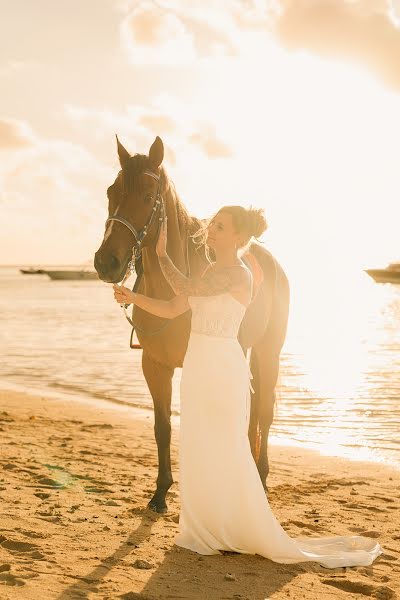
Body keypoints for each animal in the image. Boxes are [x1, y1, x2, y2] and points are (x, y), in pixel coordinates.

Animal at [94, 137, 288, 516]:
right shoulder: (155, 365)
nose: (106, 262)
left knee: (264, 411)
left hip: (268, 352)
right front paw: (160, 492)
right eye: (111, 191)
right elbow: (163, 426)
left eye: (147, 194)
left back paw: (259, 478)